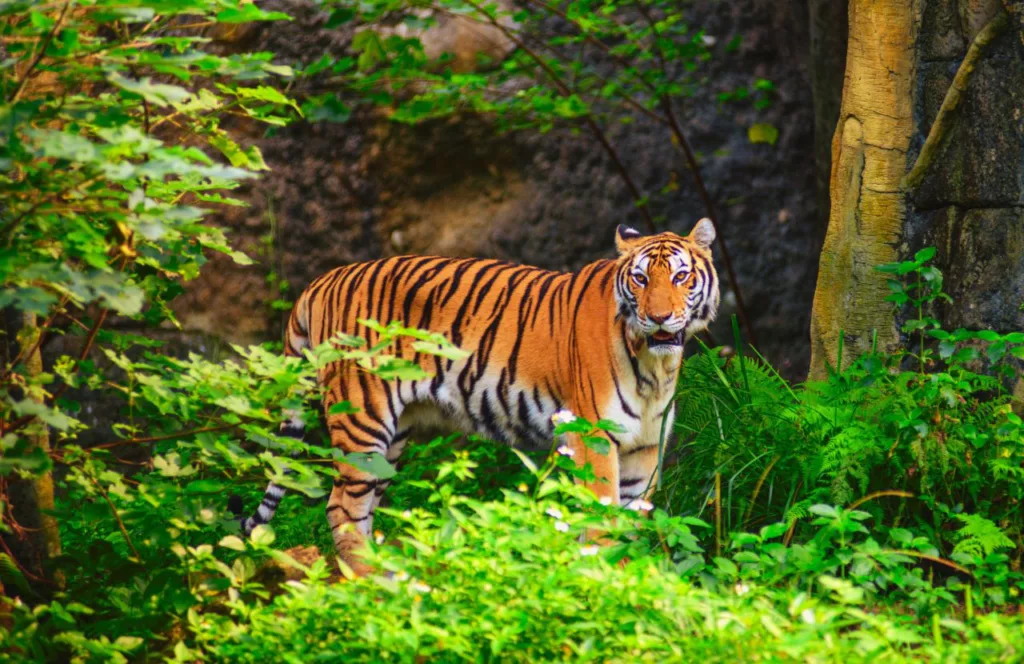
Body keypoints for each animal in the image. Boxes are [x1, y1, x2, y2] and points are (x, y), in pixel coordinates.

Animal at [236, 220, 724, 573]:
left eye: (681, 276)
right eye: (640, 279)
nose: (658, 317)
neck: (654, 368)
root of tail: (322, 280)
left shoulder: (644, 446)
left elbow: (630, 522)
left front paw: (629, 579)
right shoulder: (593, 435)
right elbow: (601, 518)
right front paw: (604, 580)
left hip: (391, 440)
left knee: (364, 506)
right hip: (362, 416)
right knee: (342, 508)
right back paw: (371, 583)